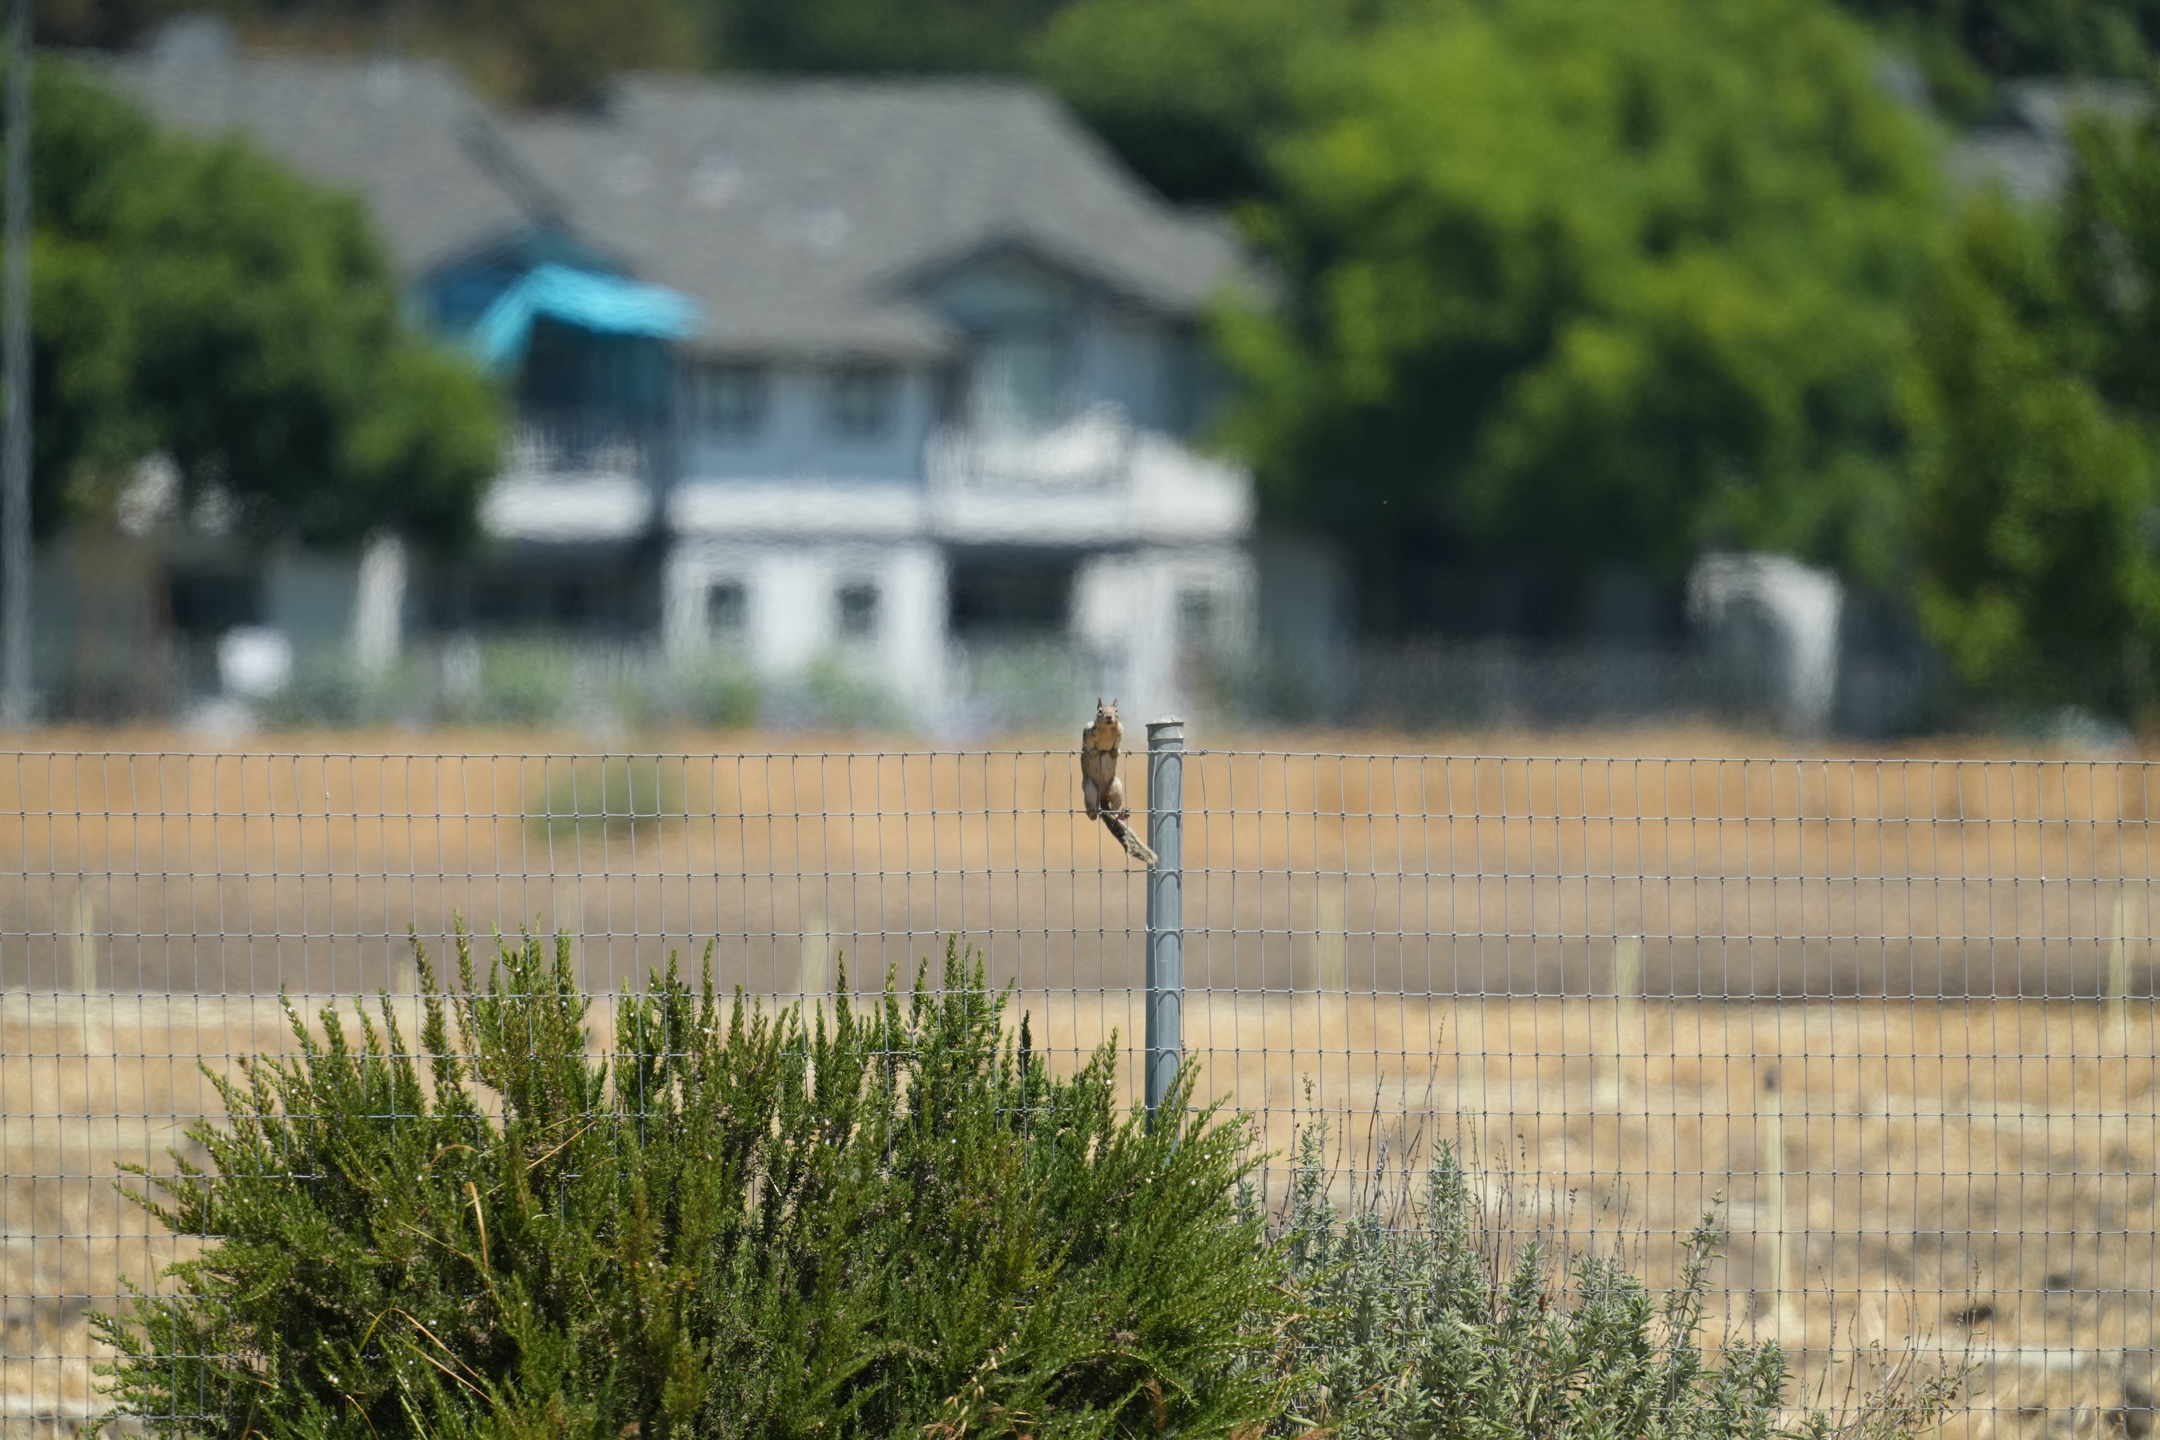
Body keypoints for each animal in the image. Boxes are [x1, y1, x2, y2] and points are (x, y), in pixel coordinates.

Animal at [1080, 699, 1158, 867]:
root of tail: (1102, 800)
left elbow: (1117, 743)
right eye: (1100, 711)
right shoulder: (1088, 731)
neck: (1107, 730)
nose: (1109, 717)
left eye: (1116, 710)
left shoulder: (1120, 731)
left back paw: (1121, 814)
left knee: (1114, 812)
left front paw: (1116, 751)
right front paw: (1093, 751)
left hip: (1117, 788)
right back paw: (1092, 811)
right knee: (1092, 815)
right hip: (1089, 788)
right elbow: (1087, 744)